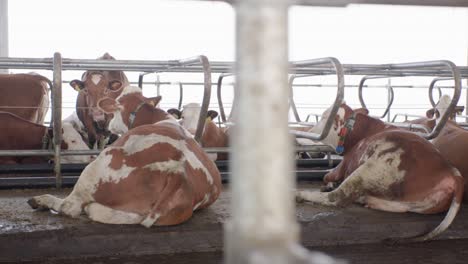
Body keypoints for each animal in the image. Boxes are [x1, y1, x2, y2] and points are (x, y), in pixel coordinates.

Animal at [296, 102, 464, 242]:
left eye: (325, 117)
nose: (310, 131)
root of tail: (452, 172)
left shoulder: (344, 164)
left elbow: (327, 175)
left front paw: (329, 183)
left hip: (372, 167)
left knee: (336, 197)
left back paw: (298, 194)